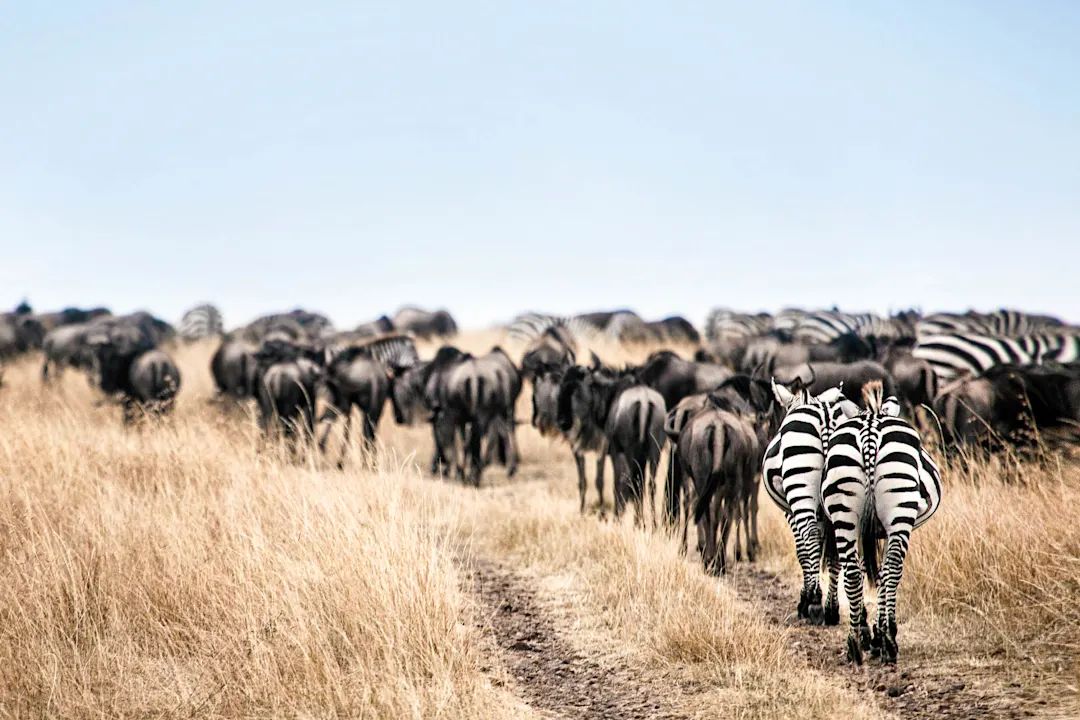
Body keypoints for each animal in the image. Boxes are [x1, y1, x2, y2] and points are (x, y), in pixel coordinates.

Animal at [762, 374, 861, 625]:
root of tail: (825, 416)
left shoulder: (790, 510)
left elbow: (802, 549)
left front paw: (806, 599)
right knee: (841, 547)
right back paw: (832, 610)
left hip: (800, 489)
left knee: (812, 535)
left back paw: (814, 603)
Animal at [821, 380, 943, 665]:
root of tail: (870, 428)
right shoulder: (887, 531)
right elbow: (885, 573)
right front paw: (882, 632)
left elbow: (871, 571)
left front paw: (872, 633)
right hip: (900, 510)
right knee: (894, 568)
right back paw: (888, 644)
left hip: (844, 511)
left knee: (853, 573)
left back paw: (854, 645)